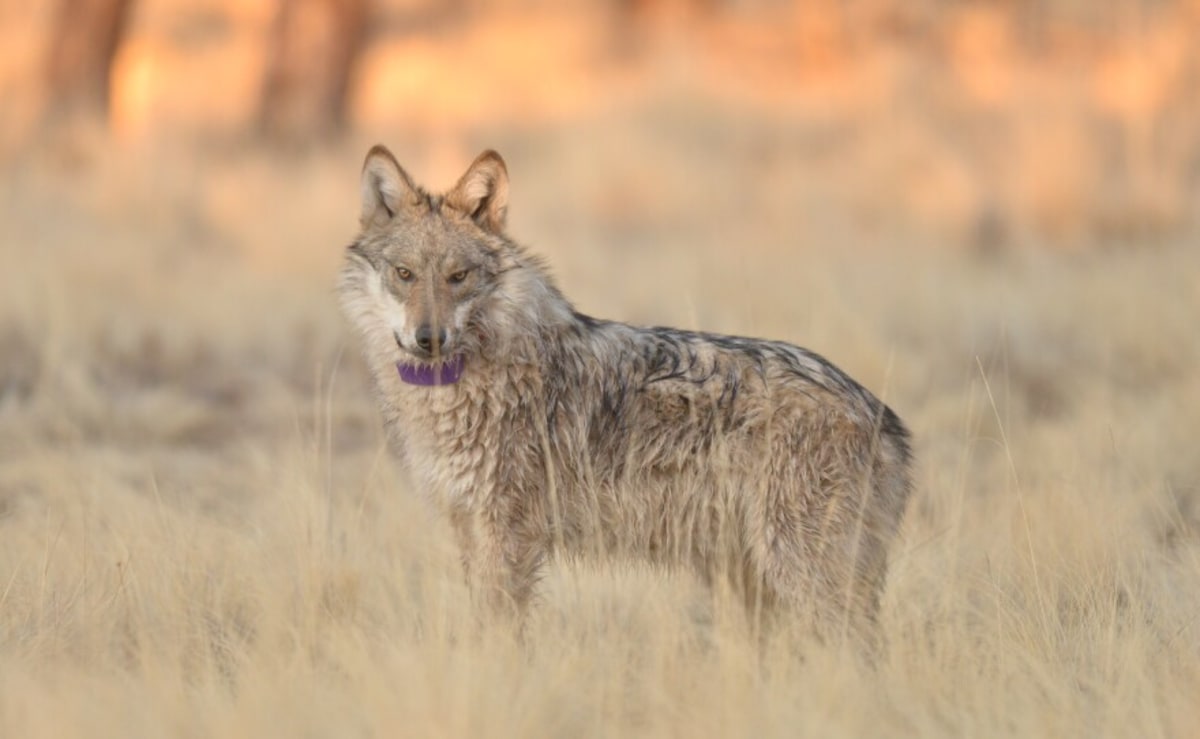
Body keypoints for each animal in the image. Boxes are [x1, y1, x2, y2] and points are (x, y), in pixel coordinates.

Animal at [338, 145, 913, 648]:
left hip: (799, 574)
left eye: (458, 276)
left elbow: (498, 634)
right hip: (750, 578)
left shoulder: (509, 534)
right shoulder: (468, 527)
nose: (428, 339)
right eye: (405, 274)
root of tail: (886, 419)